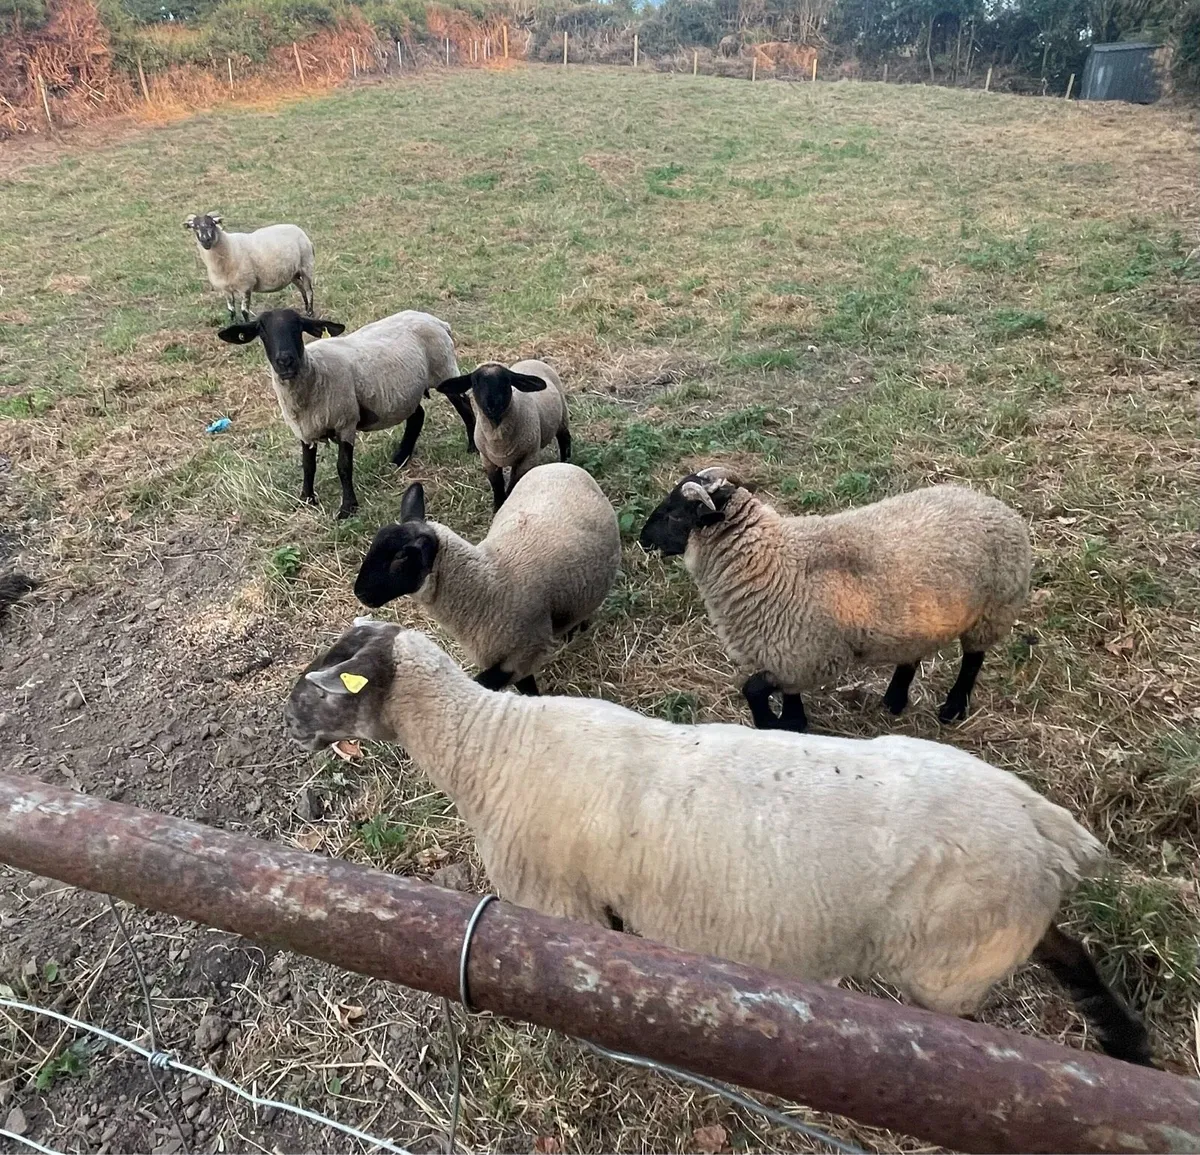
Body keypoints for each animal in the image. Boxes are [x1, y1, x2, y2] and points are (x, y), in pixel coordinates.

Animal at [184, 213, 315, 322]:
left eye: (212, 224)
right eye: (195, 227)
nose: (206, 240)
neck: (229, 247)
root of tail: (298, 229)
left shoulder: (246, 285)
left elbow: (244, 311)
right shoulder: (225, 288)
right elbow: (231, 310)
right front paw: (232, 323)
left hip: (306, 266)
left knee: (309, 291)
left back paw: (310, 313)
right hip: (292, 273)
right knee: (302, 289)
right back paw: (306, 309)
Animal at [217, 307, 475, 519]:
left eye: (298, 326)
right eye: (261, 329)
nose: (285, 361)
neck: (314, 371)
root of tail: (437, 321)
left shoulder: (345, 422)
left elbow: (343, 467)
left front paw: (348, 508)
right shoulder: (304, 429)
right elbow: (308, 465)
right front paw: (306, 499)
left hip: (444, 370)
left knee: (465, 409)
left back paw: (472, 447)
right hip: (406, 392)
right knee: (417, 416)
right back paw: (399, 458)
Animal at [284, 619, 1154, 1067]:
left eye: (331, 680)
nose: (289, 716)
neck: (489, 744)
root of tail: (1041, 821)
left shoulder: (562, 907)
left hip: (953, 965)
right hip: (997, 933)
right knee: (1068, 949)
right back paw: (1127, 1041)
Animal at [436, 360, 570, 511]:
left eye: (506, 381)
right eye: (475, 383)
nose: (491, 405)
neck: (497, 432)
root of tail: (531, 360)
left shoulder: (528, 458)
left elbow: (513, 484)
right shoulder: (487, 459)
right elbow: (497, 485)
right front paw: (498, 506)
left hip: (562, 417)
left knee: (565, 439)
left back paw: (565, 460)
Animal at [639, 468, 1032, 733]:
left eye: (675, 513)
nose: (642, 539)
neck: (771, 559)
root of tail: (997, 505)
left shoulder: (803, 655)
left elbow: (752, 688)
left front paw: (773, 724)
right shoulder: (787, 656)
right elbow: (783, 695)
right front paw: (792, 723)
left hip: (994, 608)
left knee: (972, 660)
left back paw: (952, 708)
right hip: (920, 616)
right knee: (912, 653)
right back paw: (894, 699)